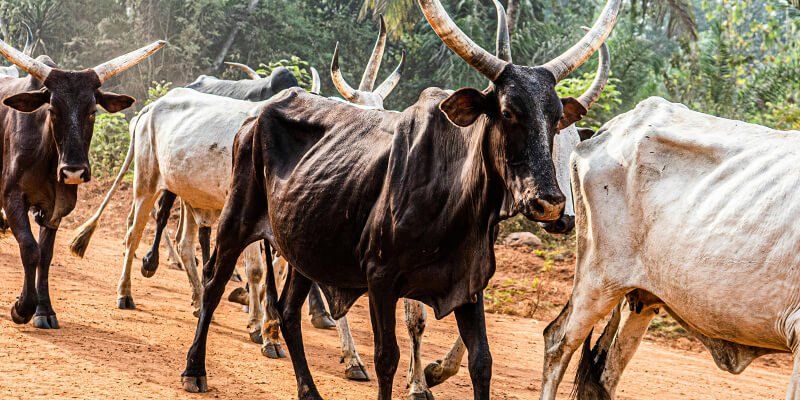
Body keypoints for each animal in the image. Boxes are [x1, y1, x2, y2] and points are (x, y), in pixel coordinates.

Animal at [0, 38, 165, 329]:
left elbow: (45, 255)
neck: (47, 156)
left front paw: (44, 311)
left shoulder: (54, 209)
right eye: (52, 109)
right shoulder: (12, 197)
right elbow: (30, 249)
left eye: (92, 111)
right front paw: (22, 308)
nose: (73, 172)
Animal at [180, 0, 621, 398]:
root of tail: (257, 115)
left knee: (289, 313)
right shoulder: (381, 279)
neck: (456, 205)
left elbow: (481, 362)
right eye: (509, 111)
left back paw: (308, 389)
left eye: (556, 117)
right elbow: (386, 357)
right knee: (215, 282)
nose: (550, 203)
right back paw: (195, 369)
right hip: (236, 220)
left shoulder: (470, 286)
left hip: (303, 243)